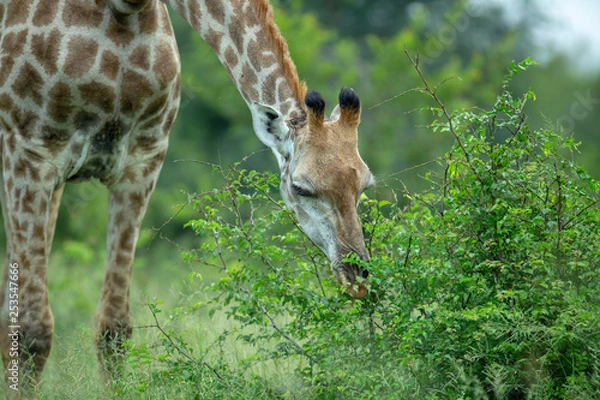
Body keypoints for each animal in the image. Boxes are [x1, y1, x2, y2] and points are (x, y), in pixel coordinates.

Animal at [0, 0, 372, 390]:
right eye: (301, 187)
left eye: (364, 186)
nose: (358, 278)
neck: (125, 8)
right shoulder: (31, 150)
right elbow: (31, 333)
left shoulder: (141, 159)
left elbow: (113, 328)